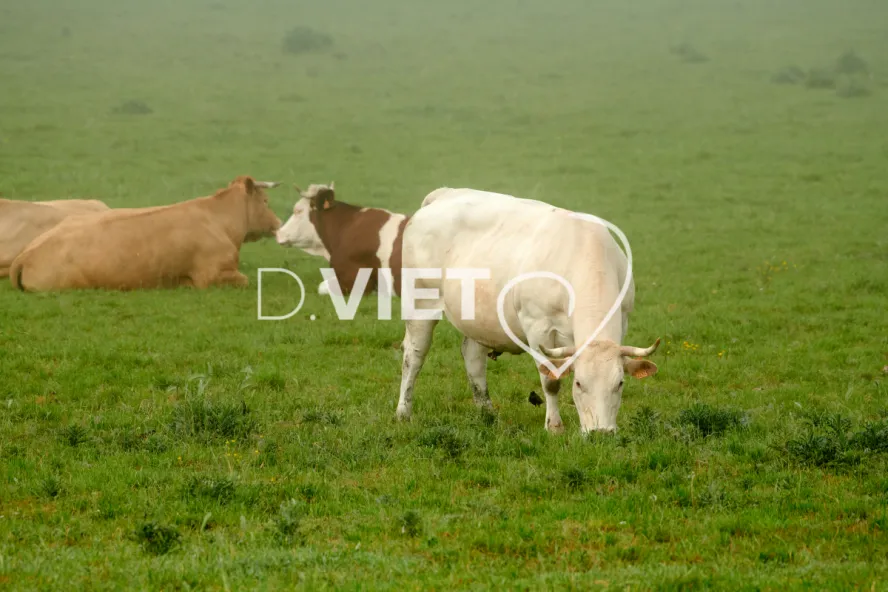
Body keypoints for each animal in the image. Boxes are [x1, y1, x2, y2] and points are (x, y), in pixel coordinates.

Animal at [10, 176, 281, 292]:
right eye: (265, 201)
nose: (278, 223)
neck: (218, 219)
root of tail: (26, 254)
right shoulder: (213, 276)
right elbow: (245, 279)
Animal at [394, 187, 660, 435]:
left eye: (620, 383)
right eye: (578, 384)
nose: (601, 433)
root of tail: (445, 194)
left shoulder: (622, 321)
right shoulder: (538, 326)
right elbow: (550, 380)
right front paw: (554, 426)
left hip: (478, 317)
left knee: (472, 357)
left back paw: (487, 412)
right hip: (420, 302)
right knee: (414, 355)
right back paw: (403, 412)